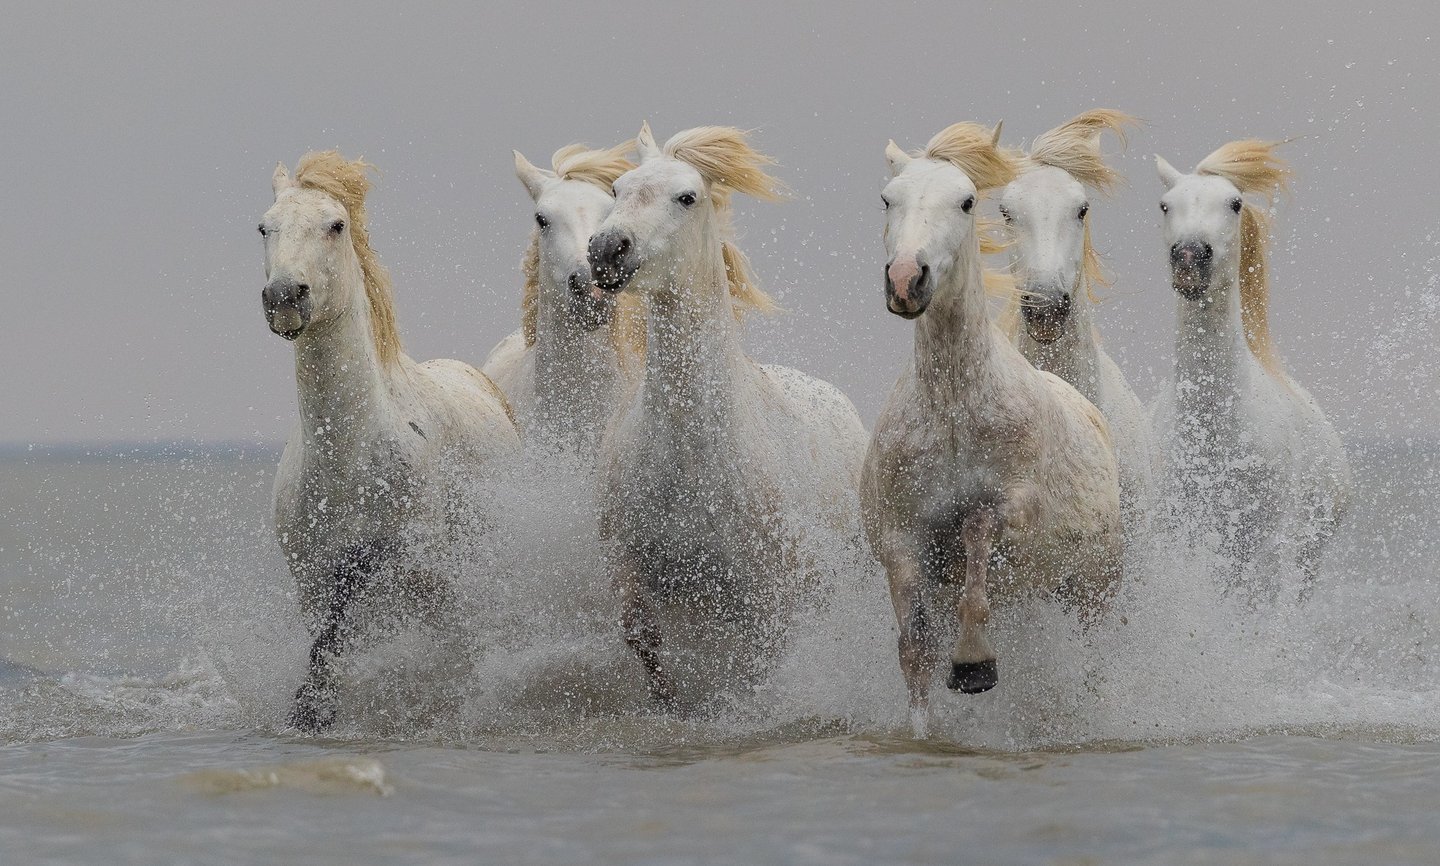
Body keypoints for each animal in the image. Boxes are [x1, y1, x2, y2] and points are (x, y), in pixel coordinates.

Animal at [260, 151, 520, 731]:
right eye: (264, 227)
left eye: (335, 225)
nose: (284, 297)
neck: (348, 459)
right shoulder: (311, 584)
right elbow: (327, 648)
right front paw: (312, 711)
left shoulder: (411, 566)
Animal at [586, 123, 869, 709]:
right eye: (618, 189)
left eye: (686, 197)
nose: (606, 250)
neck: (693, 452)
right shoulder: (628, 566)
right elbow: (643, 640)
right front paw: (671, 707)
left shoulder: (767, 596)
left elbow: (759, 666)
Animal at [860, 123, 1123, 730]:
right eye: (888, 199)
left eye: (965, 201)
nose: (906, 280)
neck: (955, 411)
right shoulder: (901, 541)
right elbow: (914, 649)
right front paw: (923, 729)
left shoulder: (1013, 508)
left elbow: (977, 534)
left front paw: (973, 664)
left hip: (1091, 588)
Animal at [1152, 140, 1351, 597]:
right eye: (1166, 205)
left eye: (1235, 203)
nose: (1189, 257)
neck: (1215, 430)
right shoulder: (1179, 537)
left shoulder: (1262, 549)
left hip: (1305, 558)